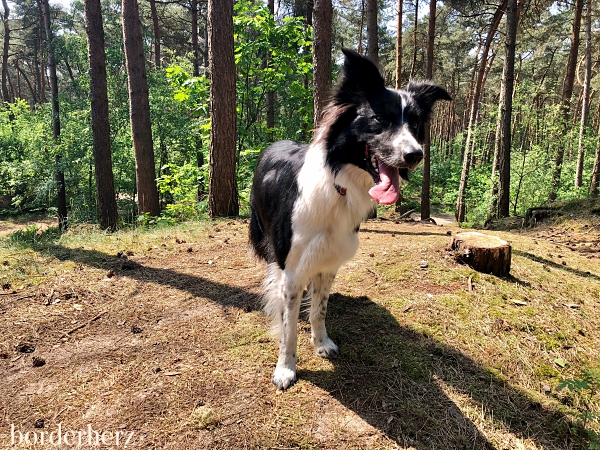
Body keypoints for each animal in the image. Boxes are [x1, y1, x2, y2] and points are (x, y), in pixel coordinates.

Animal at [248, 47, 450, 388]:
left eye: (415, 124)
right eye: (380, 119)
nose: (416, 155)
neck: (339, 185)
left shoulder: (329, 260)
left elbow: (319, 309)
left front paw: (321, 343)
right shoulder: (293, 267)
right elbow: (288, 327)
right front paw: (286, 368)